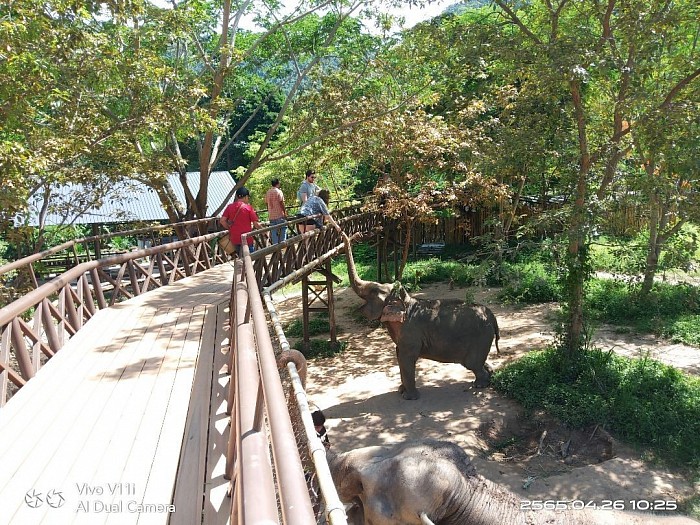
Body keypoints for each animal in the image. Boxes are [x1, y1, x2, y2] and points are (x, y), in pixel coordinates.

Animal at [338, 231, 498, 400]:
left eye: (373, 291)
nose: (349, 234)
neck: (406, 301)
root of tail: (492, 316)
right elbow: (399, 355)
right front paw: (401, 391)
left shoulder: (410, 333)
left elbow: (406, 358)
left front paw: (408, 397)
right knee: (479, 362)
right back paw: (487, 379)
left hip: (480, 338)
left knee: (472, 363)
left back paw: (479, 385)